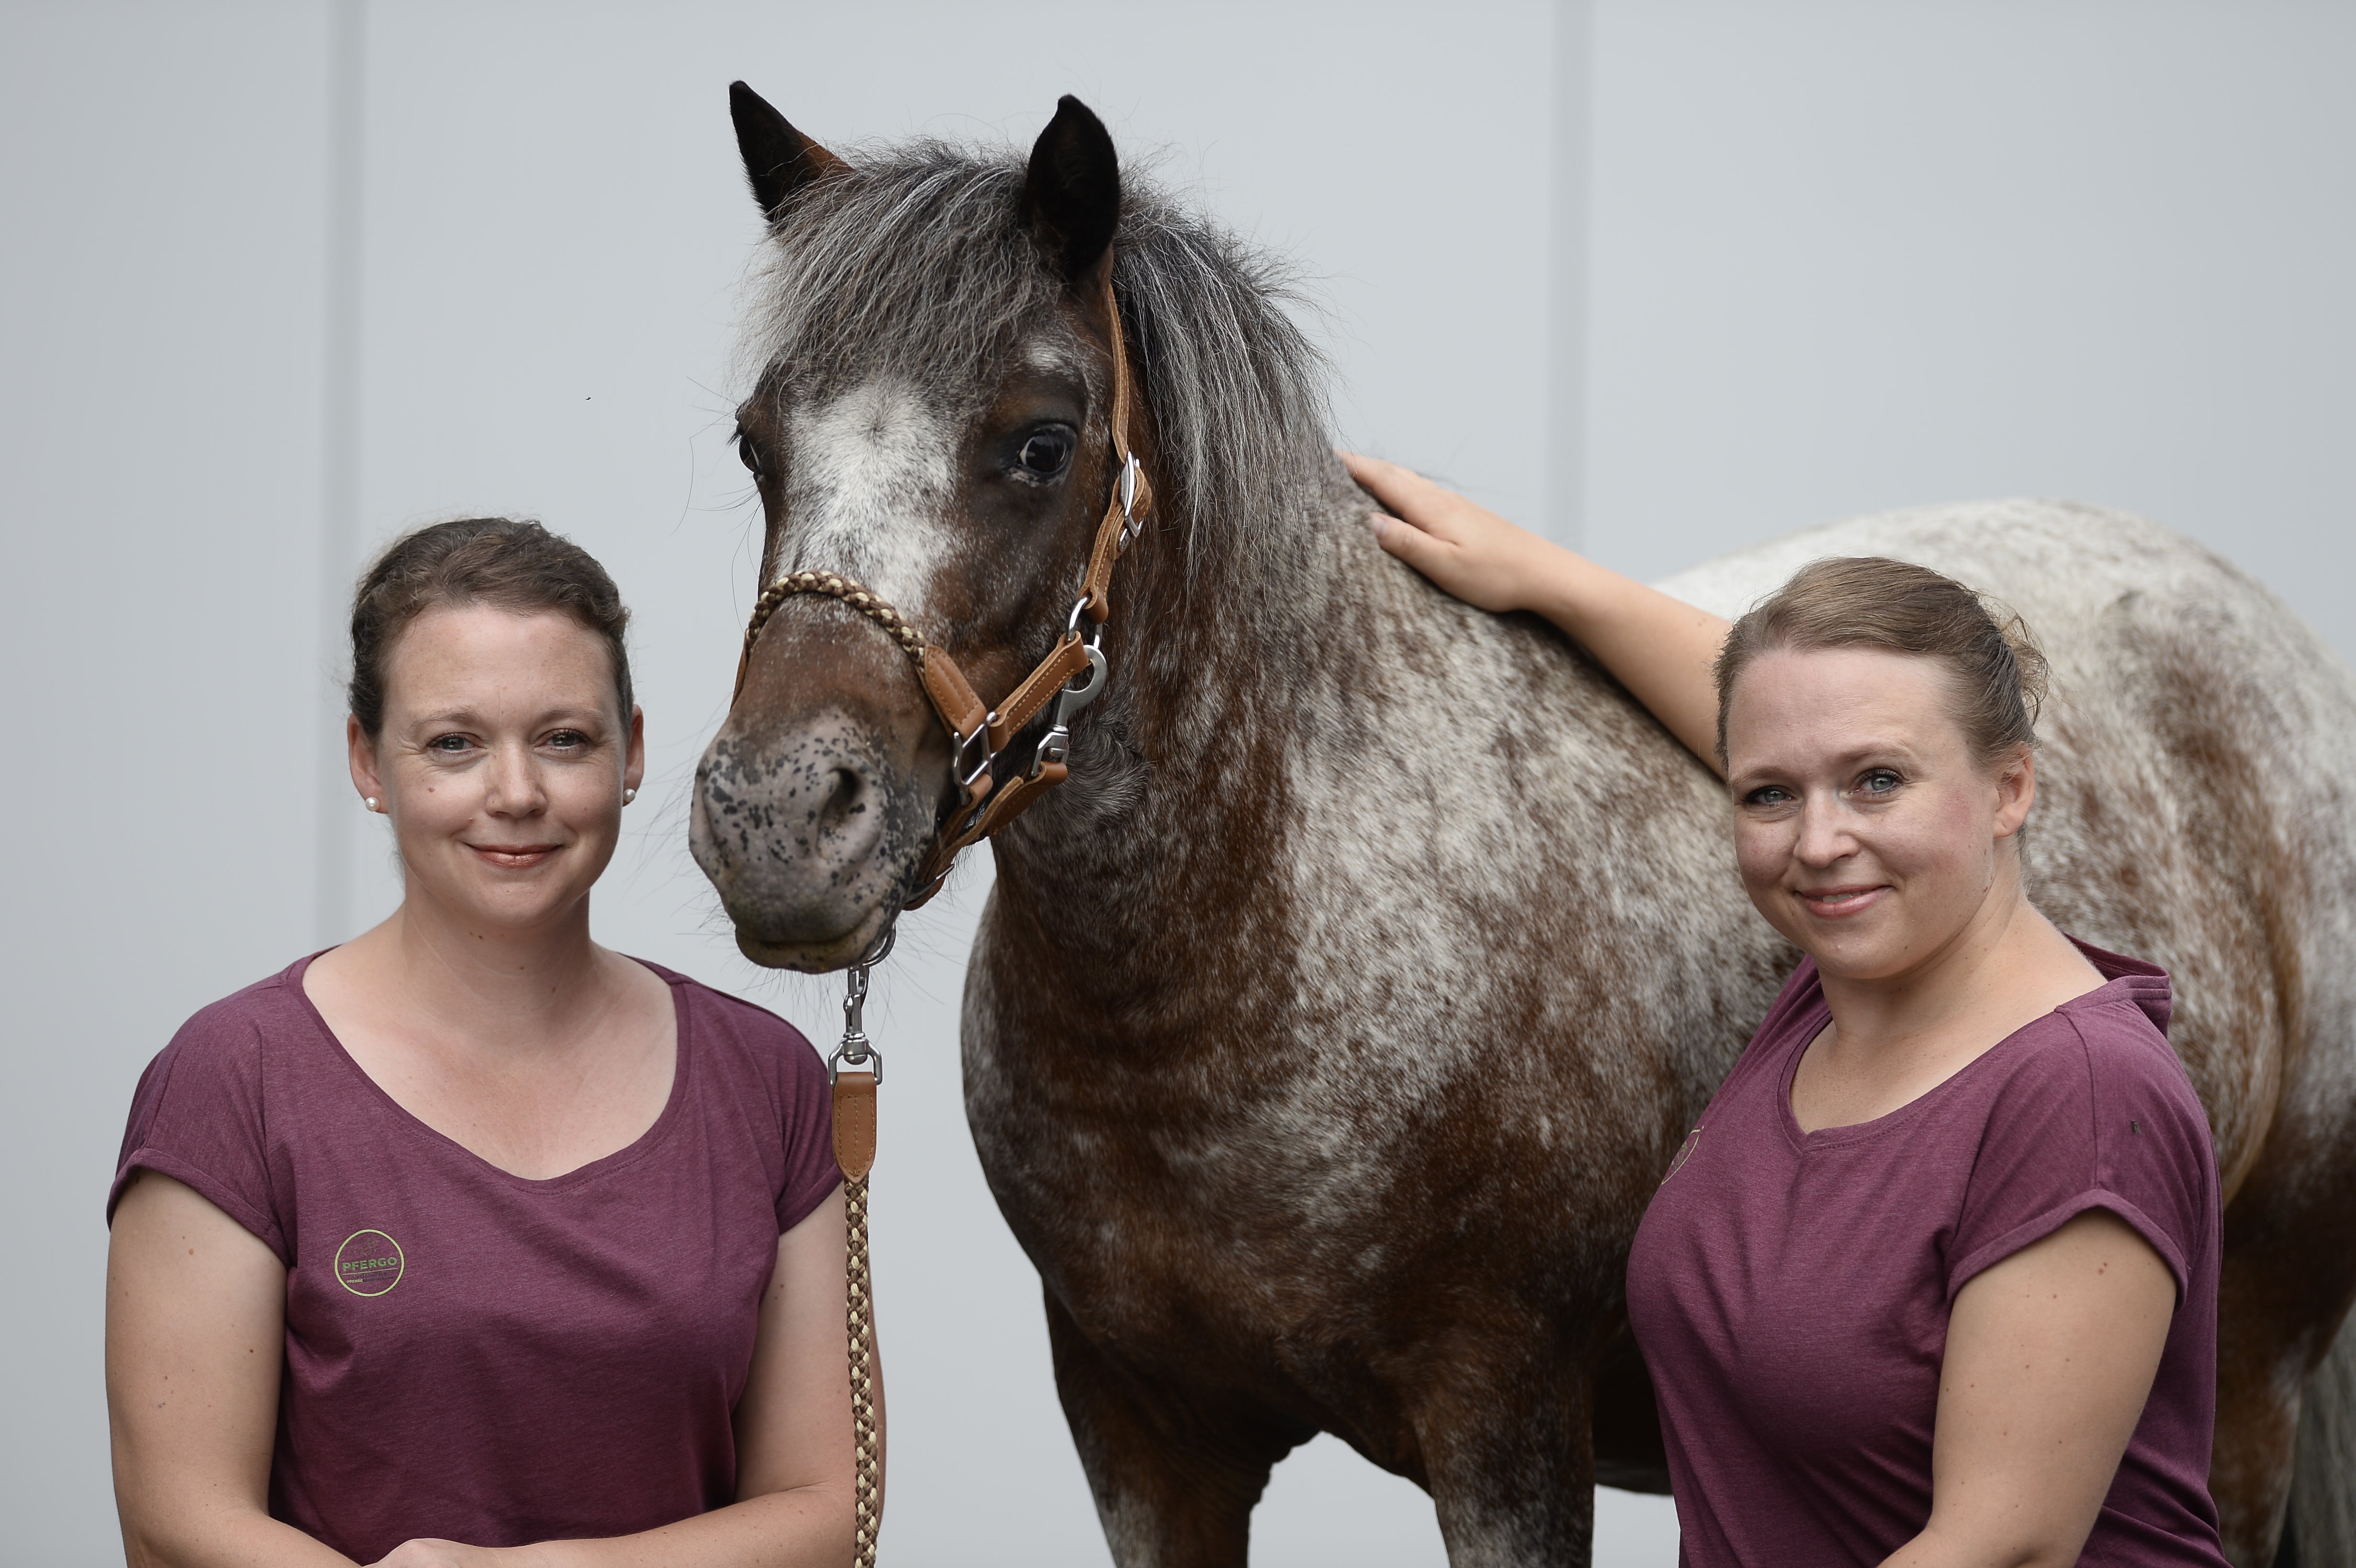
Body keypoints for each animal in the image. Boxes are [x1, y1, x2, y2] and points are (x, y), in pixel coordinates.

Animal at [690, 84, 2356, 1567]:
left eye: (1039, 442)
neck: (1255, 940)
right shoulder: (1142, 1438)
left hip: (2249, 1373)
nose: (779, 820)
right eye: (758, 442)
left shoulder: (1502, 1429)